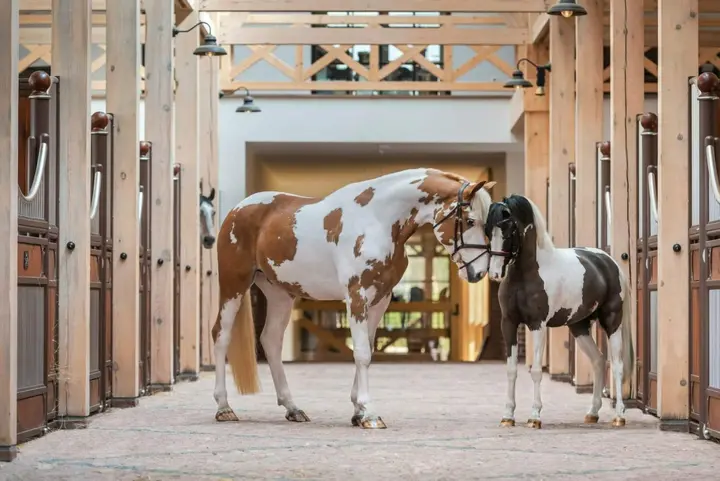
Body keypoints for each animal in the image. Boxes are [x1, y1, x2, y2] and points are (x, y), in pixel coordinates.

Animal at [211, 168, 496, 429]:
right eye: (470, 221)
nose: (479, 272)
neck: (377, 220)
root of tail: (237, 210)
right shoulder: (357, 295)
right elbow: (361, 353)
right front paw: (369, 413)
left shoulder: (381, 300)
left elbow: (367, 348)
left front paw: (358, 411)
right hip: (234, 285)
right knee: (221, 335)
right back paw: (224, 407)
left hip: (280, 293)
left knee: (271, 341)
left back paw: (293, 408)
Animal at [484, 194, 634, 429]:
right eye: (488, 229)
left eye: (510, 229)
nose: (495, 273)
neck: (528, 273)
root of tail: (609, 262)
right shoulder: (508, 323)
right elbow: (511, 370)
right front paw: (507, 416)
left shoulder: (537, 325)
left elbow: (536, 370)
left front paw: (534, 417)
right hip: (579, 327)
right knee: (599, 361)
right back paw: (592, 413)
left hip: (612, 322)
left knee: (617, 365)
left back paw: (619, 416)